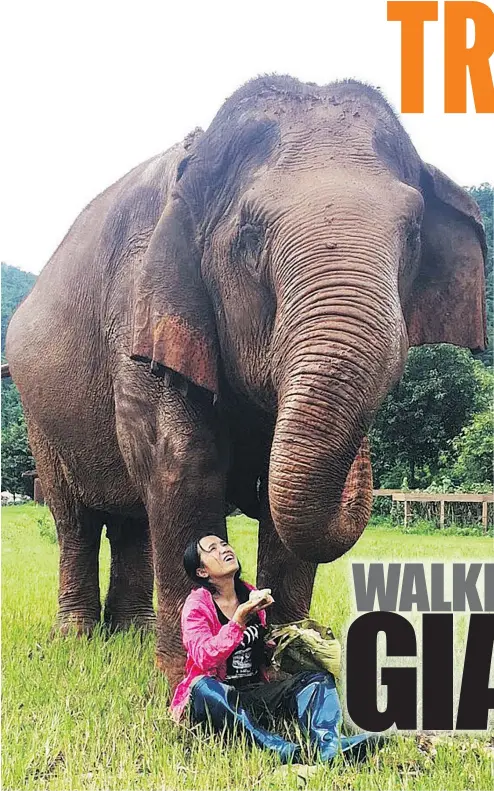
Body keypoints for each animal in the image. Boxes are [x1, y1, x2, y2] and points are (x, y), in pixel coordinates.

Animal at [5, 76, 486, 692]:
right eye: (250, 236)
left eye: (416, 234)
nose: (365, 458)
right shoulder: (140, 308)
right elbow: (183, 463)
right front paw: (181, 678)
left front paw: (289, 659)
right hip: (37, 412)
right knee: (75, 520)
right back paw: (77, 638)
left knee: (134, 520)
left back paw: (132, 632)